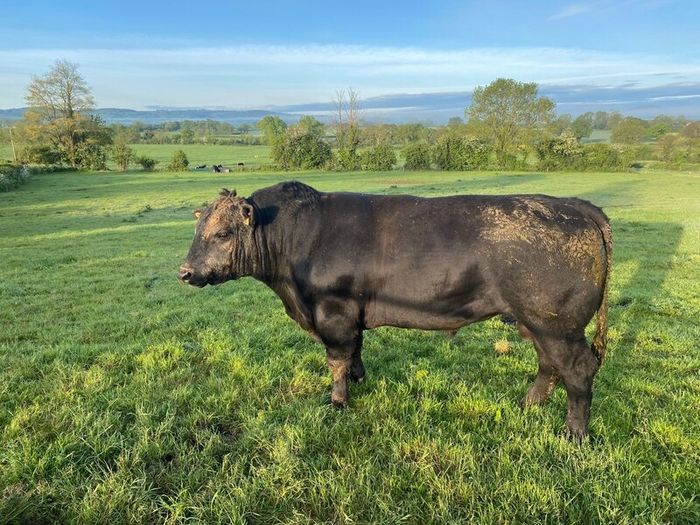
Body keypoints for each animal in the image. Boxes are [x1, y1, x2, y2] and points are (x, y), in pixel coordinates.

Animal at [179, 181, 612, 439]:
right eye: (198, 232)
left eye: (222, 233)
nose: (185, 271)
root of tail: (575, 207)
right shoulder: (351, 316)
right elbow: (355, 351)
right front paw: (358, 380)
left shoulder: (333, 311)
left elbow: (336, 357)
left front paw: (338, 401)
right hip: (539, 324)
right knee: (549, 366)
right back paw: (528, 405)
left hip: (557, 325)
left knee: (577, 370)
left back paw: (573, 433)